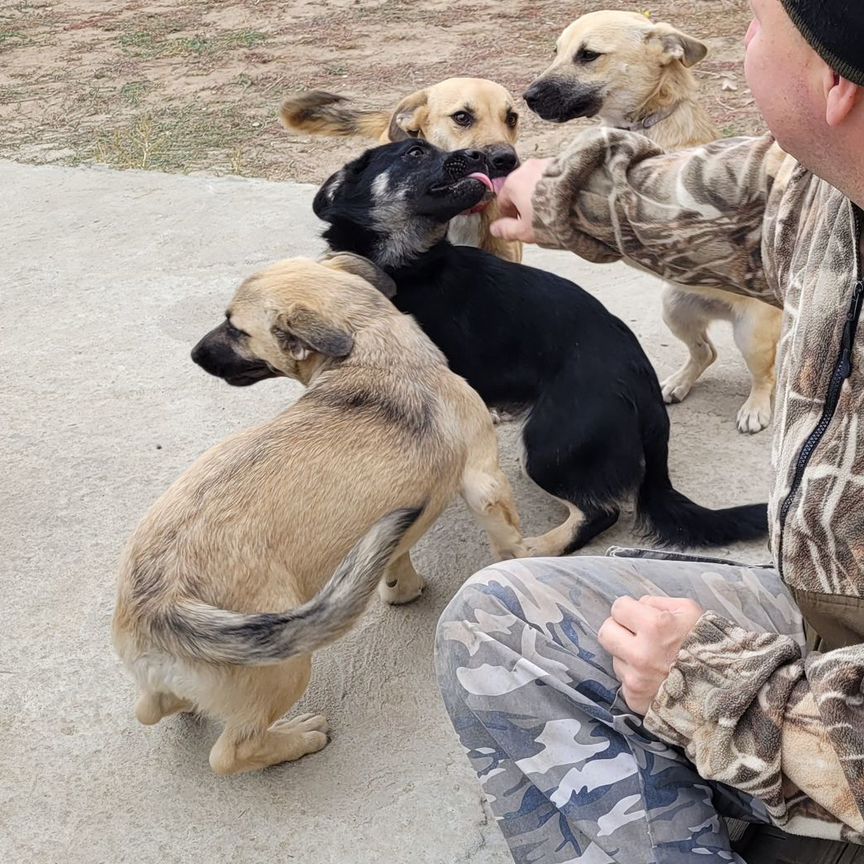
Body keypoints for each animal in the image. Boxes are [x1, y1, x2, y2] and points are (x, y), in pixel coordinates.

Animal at [110, 253, 524, 772]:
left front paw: (401, 588)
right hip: (287, 666)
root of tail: (159, 605)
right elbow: (509, 542)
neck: (370, 344)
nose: (192, 354)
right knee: (229, 754)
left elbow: (397, 555)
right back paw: (298, 738)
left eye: (236, 329)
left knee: (152, 709)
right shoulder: (484, 482)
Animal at [312, 137, 768, 552]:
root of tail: (646, 389)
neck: (411, 264)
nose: (484, 154)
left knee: (601, 512)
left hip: (547, 447)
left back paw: (536, 548)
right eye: (415, 152)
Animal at [520, 8, 784, 432]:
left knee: (766, 375)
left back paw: (755, 407)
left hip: (750, 335)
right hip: (675, 309)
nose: (527, 98)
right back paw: (678, 383)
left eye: (588, 55)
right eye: (556, 51)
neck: (649, 119)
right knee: (705, 352)